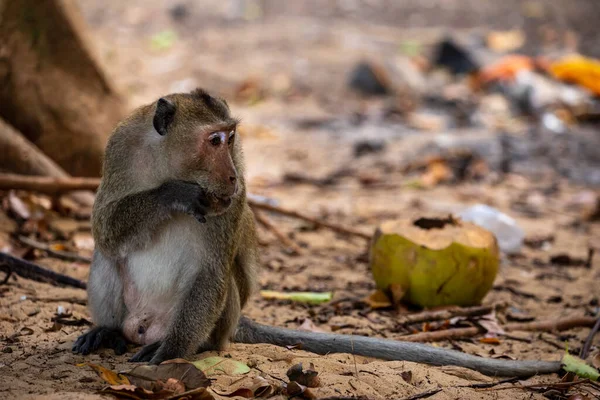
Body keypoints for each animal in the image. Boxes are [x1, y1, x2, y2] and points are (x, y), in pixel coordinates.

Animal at [67, 88, 564, 378]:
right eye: (214, 140)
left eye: (231, 139)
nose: (231, 176)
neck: (171, 161)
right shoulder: (120, 147)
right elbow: (104, 227)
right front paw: (176, 194)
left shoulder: (232, 199)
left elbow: (211, 270)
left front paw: (171, 351)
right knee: (106, 254)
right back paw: (108, 331)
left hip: (220, 320)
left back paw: (192, 343)